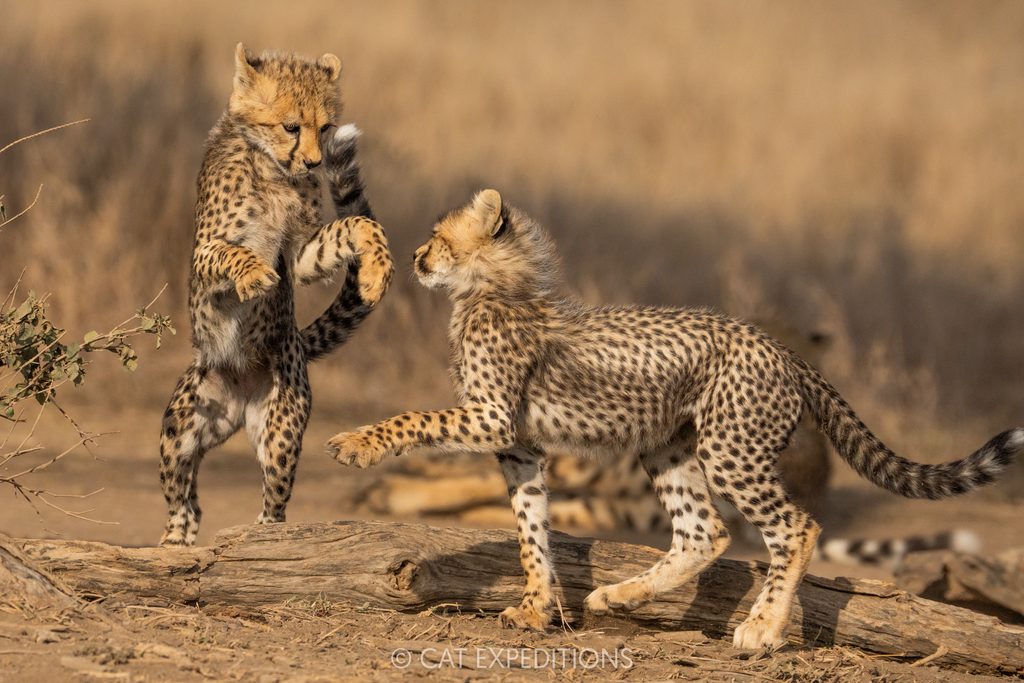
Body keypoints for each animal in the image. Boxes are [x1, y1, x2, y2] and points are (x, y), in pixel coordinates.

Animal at [158, 44, 394, 547]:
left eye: (324, 127)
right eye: (290, 127)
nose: (313, 163)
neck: (272, 170)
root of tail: (238, 394)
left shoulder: (301, 254)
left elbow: (357, 224)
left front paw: (377, 272)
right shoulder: (204, 249)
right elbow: (232, 252)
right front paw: (253, 276)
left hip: (280, 429)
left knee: (274, 502)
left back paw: (263, 537)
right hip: (179, 427)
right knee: (185, 499)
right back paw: (174, 544)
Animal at [326, 188, 1022, 650]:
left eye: (441, 237)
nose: (416, 255)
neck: (492, 289)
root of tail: (779, 346)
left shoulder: (493, 418)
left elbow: (414, 417)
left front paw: (359, 443)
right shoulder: (520, 444)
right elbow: (531, 529)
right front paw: (537, 606)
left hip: (730, 449)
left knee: (794, 527)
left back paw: (762, 628)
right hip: (665, 447)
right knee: (703, 533)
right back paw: (619, 595)